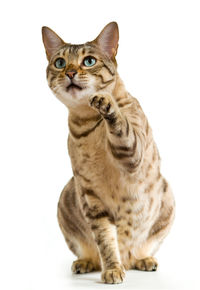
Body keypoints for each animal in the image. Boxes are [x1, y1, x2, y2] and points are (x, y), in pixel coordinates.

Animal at [42, 22, 175, 284]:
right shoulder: (91, 197)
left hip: (167, 197)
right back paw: (86, 262)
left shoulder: (133, 152)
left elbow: (120, 123)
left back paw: (144, 260)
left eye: (89, 61)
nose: (70, 73)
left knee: (136, 252)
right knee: (96, 252)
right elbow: (105, 241)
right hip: (68, 197)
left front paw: (106, 102)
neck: (88, 124)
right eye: (60, 63)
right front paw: (112, 269)